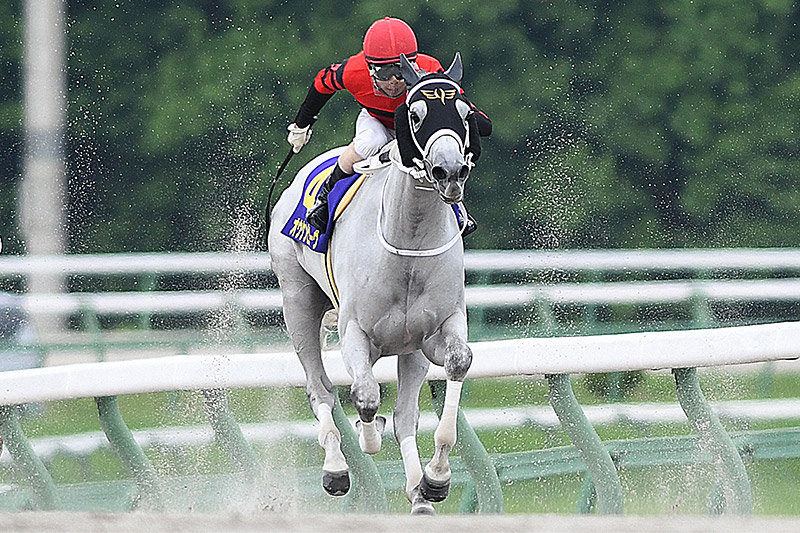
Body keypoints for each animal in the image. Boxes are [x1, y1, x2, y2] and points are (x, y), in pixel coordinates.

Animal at [268, 53, 482, 512]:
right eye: (415, 114)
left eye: (464, 114)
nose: (449, 171)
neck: (408, 240)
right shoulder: (356, 332)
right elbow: (365, 396)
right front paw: (367, 439)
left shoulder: (437, 329)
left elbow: (457, 363)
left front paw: (435, 479)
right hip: (297, 301)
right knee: (321, 390)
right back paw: (336, 466)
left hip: (410, 349)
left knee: (405, 415)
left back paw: (418, 492)